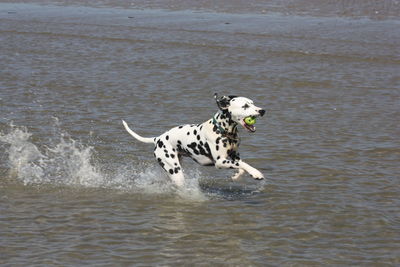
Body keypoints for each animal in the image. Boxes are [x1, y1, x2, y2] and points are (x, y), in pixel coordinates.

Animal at [122, 94, 266, 188]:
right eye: (245, 106)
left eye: (252, 103)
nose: (262, 110)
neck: (222, 130)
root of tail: (158, 138)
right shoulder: (220, 162)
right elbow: (244, 165)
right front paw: (256, 173)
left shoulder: (234, 156)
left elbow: (241, 165)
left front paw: (237, 176)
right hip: (175, 171)